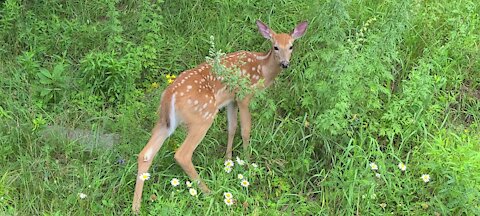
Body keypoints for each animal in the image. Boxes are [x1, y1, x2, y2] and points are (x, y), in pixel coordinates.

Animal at [131, 20, 308, 213]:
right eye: (275, 46)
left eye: (291, 46)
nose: (285, 63)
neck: (262, 70)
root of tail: (170, 94)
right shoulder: (244, 96)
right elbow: (245, 129)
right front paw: (247, 161)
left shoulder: (230, 100)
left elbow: (232, 128)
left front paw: (228, 160)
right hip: (203, 117)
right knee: (182, 154)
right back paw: (208, 192)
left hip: (165, 122)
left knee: (145, 154)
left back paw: (136, 207)